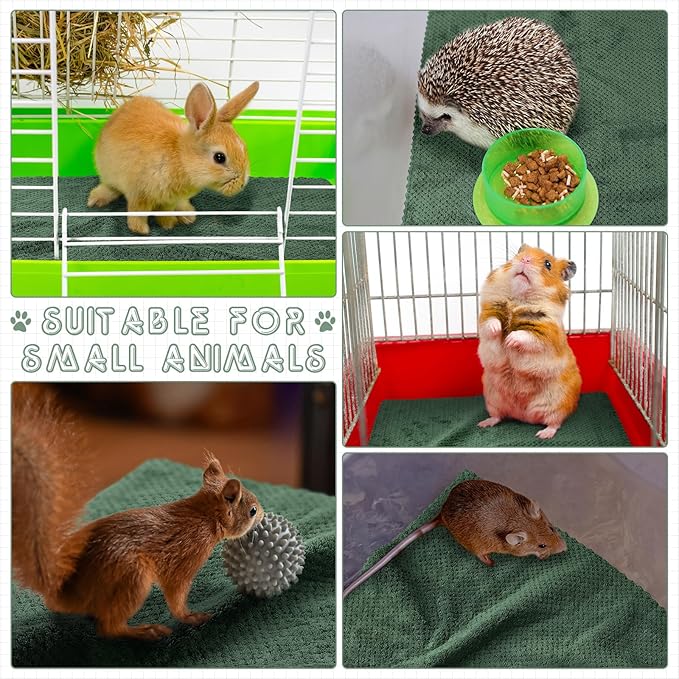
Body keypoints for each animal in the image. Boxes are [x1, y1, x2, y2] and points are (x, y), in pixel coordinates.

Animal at [87, 81, 259, 235]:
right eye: (219, 157)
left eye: (244, 147)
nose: (242, 184)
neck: (181, 158)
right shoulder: (139, 194)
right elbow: (137, 213)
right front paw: (141, 230)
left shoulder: (169, 201)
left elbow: (165, 212)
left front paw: (168, 224)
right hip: (108, 173)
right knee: (110, 187)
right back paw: (95, 200)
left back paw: (188, 215)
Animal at [343, 479, 566, 598]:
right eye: (542, 545)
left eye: (552, 528)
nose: (565, 548)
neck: (516, 520)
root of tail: (441, 514)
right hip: (476, 546)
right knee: (481, 556)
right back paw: (490, 562)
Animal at [477, 244, 582, 439]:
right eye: (519, 253)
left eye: (548, 264)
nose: (525, 260)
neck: (519, 298)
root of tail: (523, 416)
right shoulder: (488, 312)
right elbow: (490, 323)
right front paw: (499, 332)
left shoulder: (545, 332)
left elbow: (526, 336)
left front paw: (509, 340)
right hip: (493, 399)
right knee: (498, 416)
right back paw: (484, 424)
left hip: (557, 403)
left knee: (555, 422)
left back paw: (543, 434)